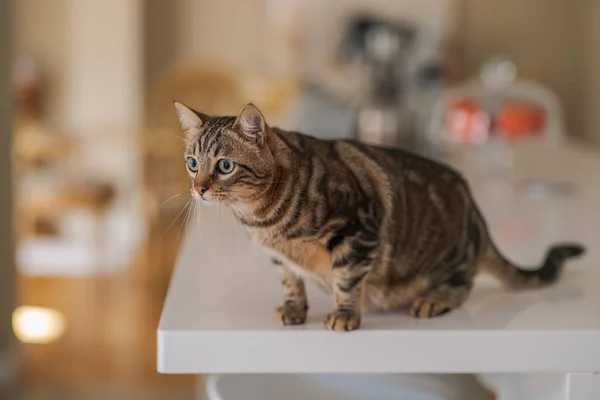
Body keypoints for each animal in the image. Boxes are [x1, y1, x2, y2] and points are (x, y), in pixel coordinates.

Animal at [173, 101, 584, 332]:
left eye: (224, 166)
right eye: (192, 163)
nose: (199, 188)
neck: (262, 220)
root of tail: (475, 208)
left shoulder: (358, 230)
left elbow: (347, 279)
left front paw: (344, 314)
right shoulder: (279, 258)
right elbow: (291, 282)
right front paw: (294, 308)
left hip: (450, 258)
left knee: (463, 284)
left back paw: (435, 299)